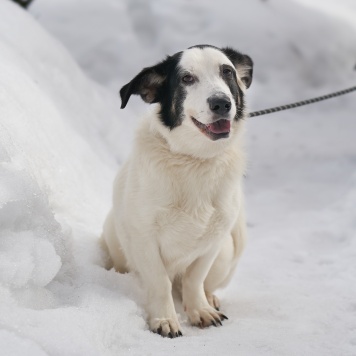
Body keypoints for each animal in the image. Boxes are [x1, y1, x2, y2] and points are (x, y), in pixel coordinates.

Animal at [101, 44, 253, 336]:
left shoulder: (214, 240)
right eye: (187, 78)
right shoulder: (143, 237)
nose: (221, 103)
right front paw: (164, 319)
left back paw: (210, 298)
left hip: (227, 251)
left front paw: (200, 310)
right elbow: (160, 281)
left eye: (227, 72)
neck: (194, 161)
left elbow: (194, 279)